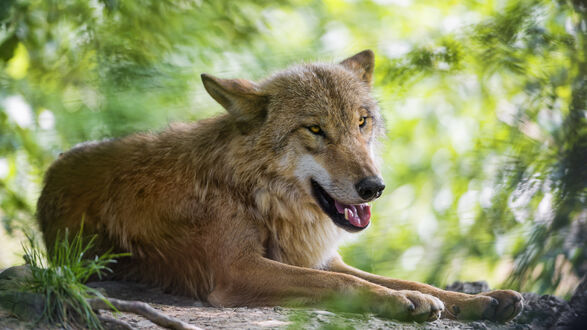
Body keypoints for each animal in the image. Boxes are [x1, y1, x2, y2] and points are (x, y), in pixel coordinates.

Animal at [36, 51, 524, 322]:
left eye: (361, 122)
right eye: (315, 129)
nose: (374, 187)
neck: (255, 194)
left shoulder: (322, 258)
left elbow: (400, 277)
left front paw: (480, 300)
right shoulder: (238, 270)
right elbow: (349, 286)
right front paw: (404, 301)